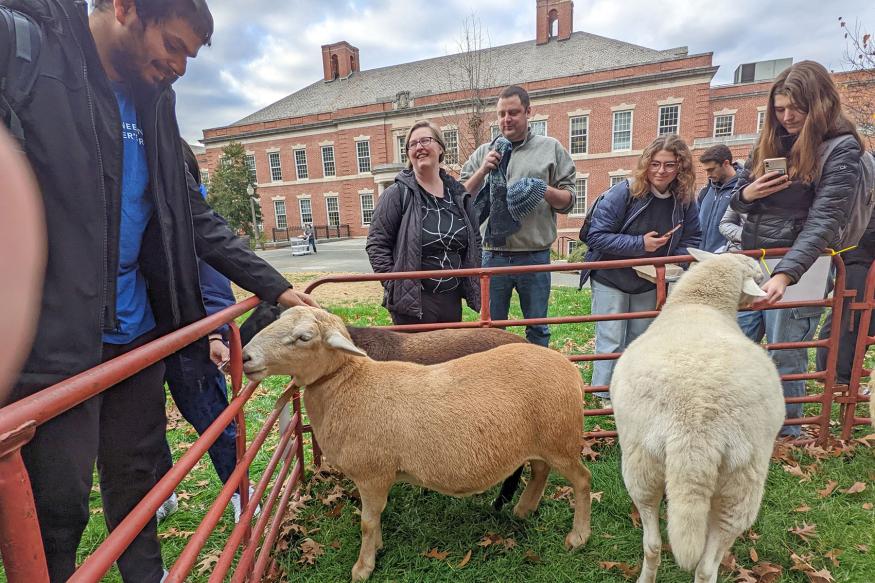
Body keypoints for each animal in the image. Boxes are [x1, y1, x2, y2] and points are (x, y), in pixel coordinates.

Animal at [243, 308, 592, 580]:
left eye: (304, 337)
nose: (245, 357)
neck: (347, 383)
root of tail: (569, 368)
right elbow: (374, 519)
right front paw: (377, 548)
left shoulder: (373, 474)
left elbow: (367, 522)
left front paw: (363, 567)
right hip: (543, 439)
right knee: (540, 471)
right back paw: (523, 509)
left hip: (561, 438)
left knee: (582, 480)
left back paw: (578, 536)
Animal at [608, 250, 788, 583]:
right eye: (756, 275)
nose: (766, 287)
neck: (699, 303)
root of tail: (696, 426)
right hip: (745, 477)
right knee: (708, 562)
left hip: (644, 463)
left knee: (654, 544)